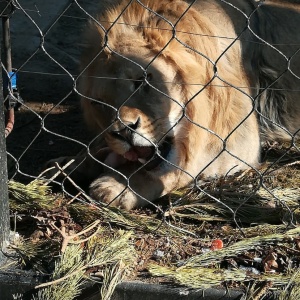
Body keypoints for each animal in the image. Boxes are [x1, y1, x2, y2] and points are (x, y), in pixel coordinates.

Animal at [46, 0, 300, 210]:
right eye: (99, 103)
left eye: (142, 81)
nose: (124, 132)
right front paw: (69, 165)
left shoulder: (239, 140)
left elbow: (177, 168)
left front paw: (118, 185)